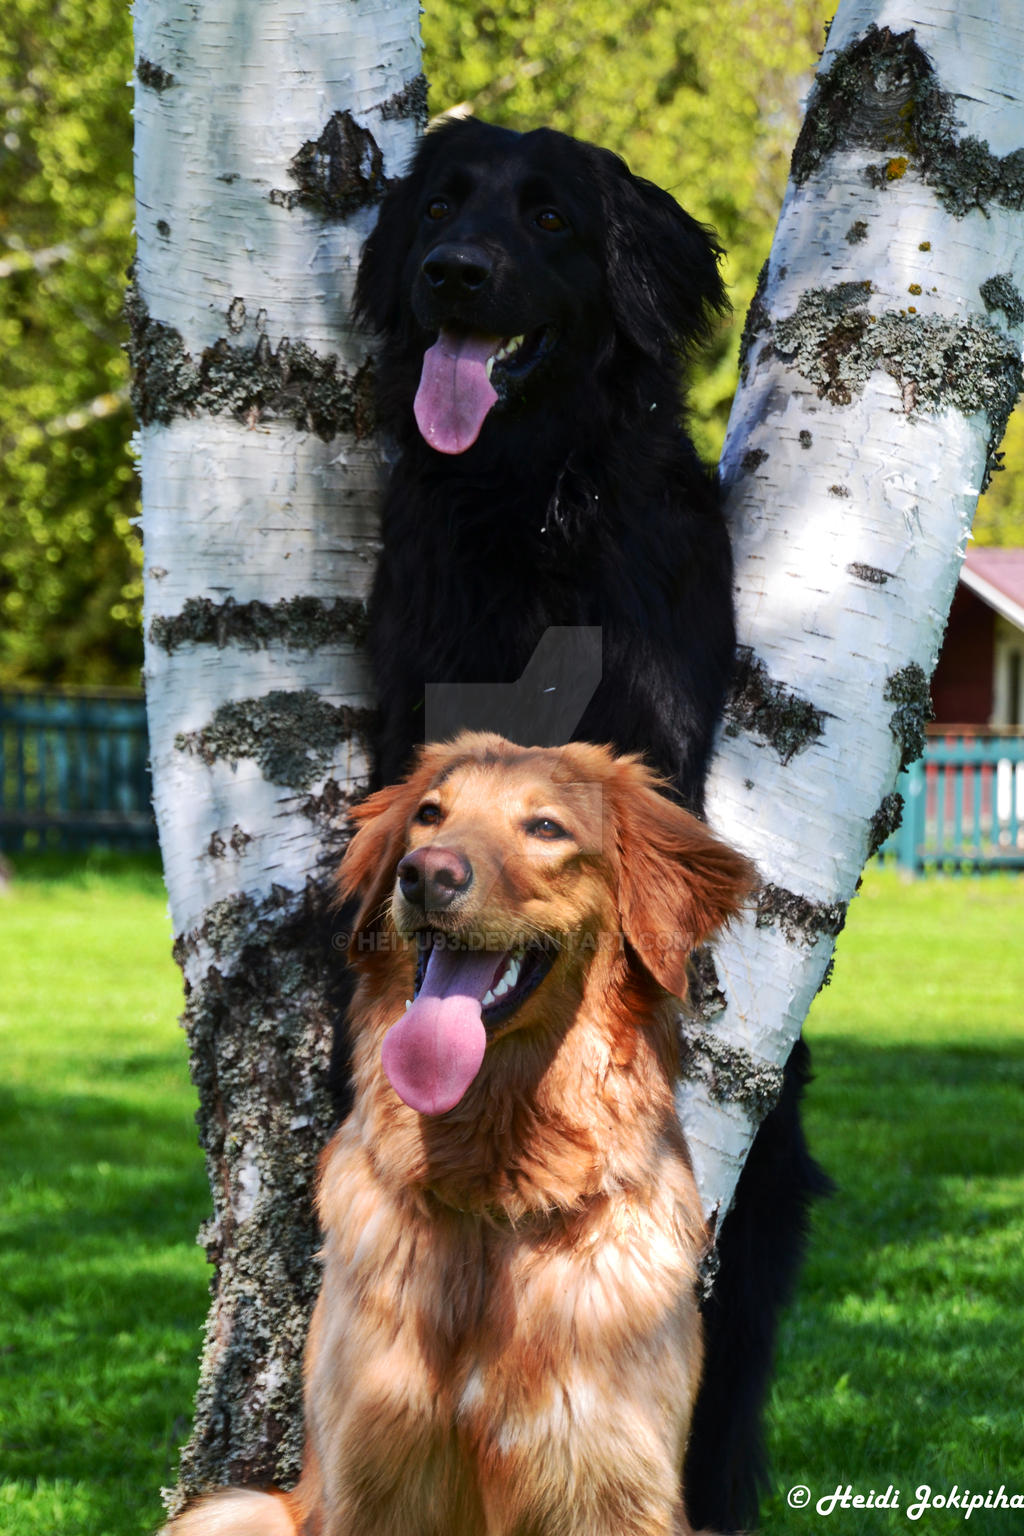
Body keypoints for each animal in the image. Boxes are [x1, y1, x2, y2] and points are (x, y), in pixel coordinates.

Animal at [160, 731, 752, 1536]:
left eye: (546, 828)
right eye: (430, 816)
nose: (426, 875)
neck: (492, 1195)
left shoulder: (610, 1478)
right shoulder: (373, 1473)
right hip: (241, 1511)